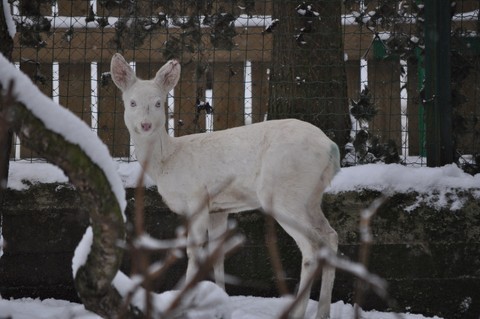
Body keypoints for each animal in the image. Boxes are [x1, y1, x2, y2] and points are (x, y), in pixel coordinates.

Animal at [109, 53, 342, 318]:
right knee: (330, 236)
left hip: (283, 191)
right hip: (311, 196)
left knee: (311, 247)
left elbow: (194, 252)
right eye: (132, 102)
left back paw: (298, 312)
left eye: (159, 103)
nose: (146, 125)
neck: (167, 161)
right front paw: (220, 300)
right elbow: (217, 255)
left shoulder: (197, 197)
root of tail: (331, 148)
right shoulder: (218, 209)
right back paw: (323, 311)